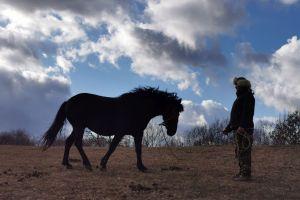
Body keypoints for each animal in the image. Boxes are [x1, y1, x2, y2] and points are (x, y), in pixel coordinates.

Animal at [41, 86, 183, 171]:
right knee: (77, 143)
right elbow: (112, 147)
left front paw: (141, 166)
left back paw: (67, 163)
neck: (137, 108)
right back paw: (87, 164)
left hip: (77, 127)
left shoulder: (137, 133)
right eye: (175, 112)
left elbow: (138, 150)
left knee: (69, 142)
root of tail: (68, 102)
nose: (172, 132)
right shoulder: (121, 133)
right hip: (79, 127)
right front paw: (103, 164)